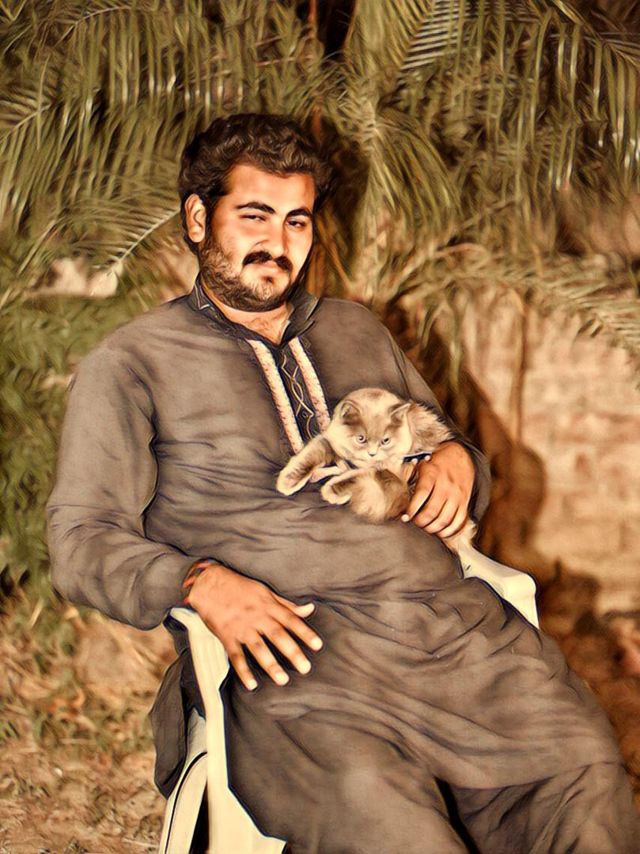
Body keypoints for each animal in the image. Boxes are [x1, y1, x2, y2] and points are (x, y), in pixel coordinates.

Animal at [276, 387, 476, 552]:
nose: (372, 453)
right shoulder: (331, 442)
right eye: (361, 438)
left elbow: (359, 476)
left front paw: (331, 490)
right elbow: (312, 454)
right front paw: (289, 480)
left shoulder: (392, 476)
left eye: (385, 440)